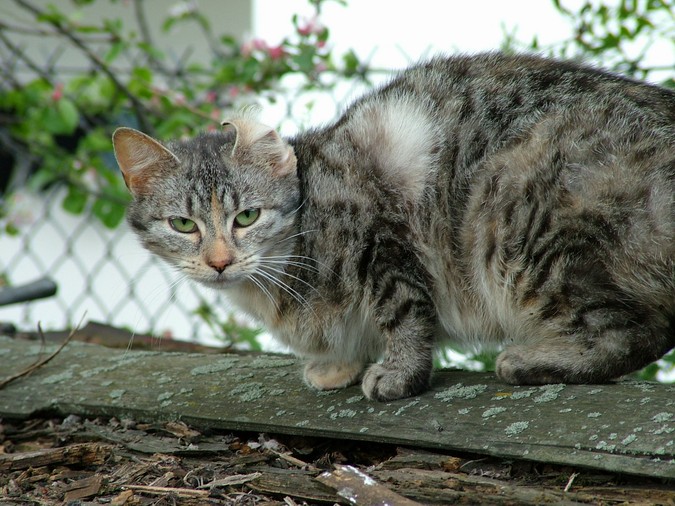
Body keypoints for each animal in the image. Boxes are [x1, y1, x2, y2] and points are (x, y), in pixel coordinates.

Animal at [112, 51, 675, 400]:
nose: (219, 262)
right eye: (183, 224)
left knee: (639, 330)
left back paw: (532, 361)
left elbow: (403, 311)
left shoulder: (381, 237)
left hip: (516, 216)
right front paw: (338, 364)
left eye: (246, 216)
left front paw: (399, 373)